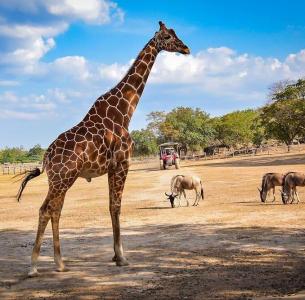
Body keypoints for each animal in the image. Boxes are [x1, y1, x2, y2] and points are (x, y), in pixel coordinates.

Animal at [16, 21, 189, 276]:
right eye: (168, 36)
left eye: (176, 33)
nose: (186, 48)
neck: (124, 111)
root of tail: (46, 157)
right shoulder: (122, 163)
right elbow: (116, 206)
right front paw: (122, 258)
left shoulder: (111, 168)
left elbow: (110, 206)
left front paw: (115, 255)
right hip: (62, 179)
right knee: (46, 209)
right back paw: (34, 266)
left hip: (59, 181)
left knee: (54, 210)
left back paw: (59, 263)